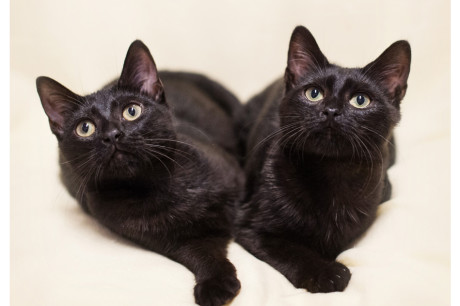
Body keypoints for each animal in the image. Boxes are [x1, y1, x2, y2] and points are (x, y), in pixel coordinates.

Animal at [36, 40, 244, 306]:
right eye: (85, 128)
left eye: (132, 111)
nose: (112, 135)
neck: (154, 186)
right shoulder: (172, 242)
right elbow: (200, 255)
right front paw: (214, 284)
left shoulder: (236, 178)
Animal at [235, 25, 412, 292]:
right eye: (314, 93)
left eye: (360, 100)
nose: (330, 111)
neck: (331, 173)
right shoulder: (250, 225)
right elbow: (292, 250)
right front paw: (327, 272)